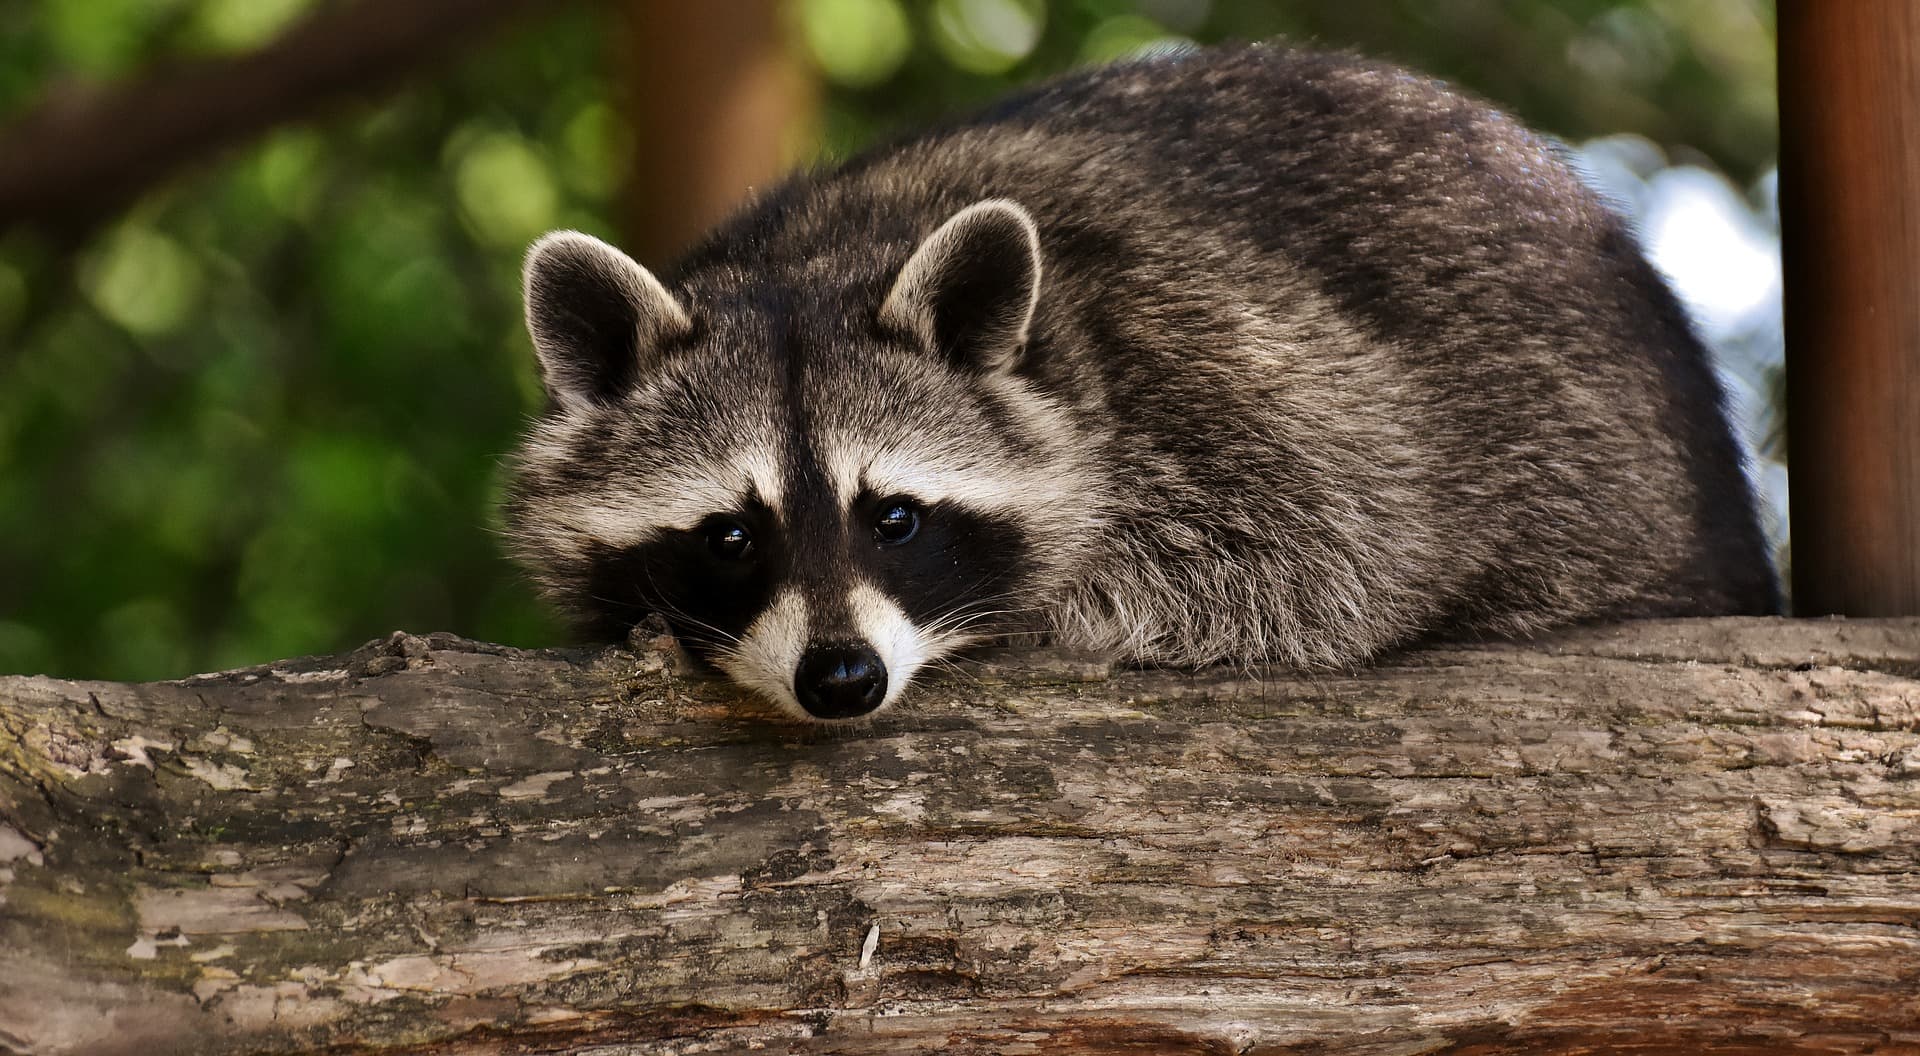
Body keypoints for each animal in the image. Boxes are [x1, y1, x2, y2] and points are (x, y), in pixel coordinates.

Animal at [504, 44, 1777, 721]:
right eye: (729, 535)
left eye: (895, 518)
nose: (843, 680)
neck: (816, 259)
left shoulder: (1235, 369)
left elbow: (1332, 557)